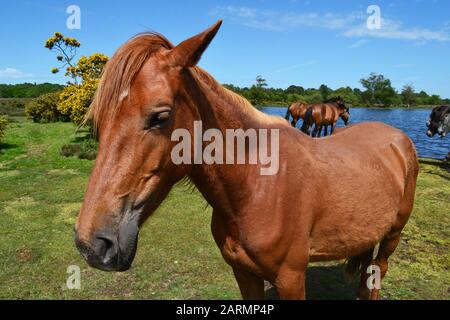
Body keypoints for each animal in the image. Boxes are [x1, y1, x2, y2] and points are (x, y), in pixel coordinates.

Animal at [76, 21, 418, 300]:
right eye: (98, 121)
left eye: (160, 117)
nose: (91, 244)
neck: (256, 187)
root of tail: (398, 139)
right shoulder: (244, 273)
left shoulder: (291, 279)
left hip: (392, 236)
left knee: (376, 274)